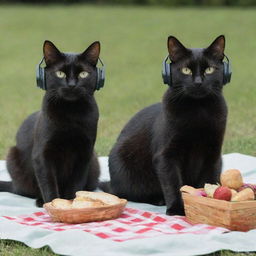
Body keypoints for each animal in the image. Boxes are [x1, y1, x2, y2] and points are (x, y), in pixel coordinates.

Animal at [0, 40, 102, 208]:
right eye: (60, 73)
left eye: (83, 74)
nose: (72, 85)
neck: (71, 114)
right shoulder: (42, 155)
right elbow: (48, 183)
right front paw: (53, 204)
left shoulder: (84, 154)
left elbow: (75, 184)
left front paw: (71, 204)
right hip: (12, 157)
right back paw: (40, 201)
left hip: (94, 163)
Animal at [104, 35, 230, 215]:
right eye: (186, 70)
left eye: (209, 70)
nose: (198, 82)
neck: (198, 110)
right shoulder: (166, 156)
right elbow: (173, 184)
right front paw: (177, 209)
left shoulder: (213, 154)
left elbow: (209, 180)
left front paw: (207, 207)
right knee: (130, 193)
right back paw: (158, 200)